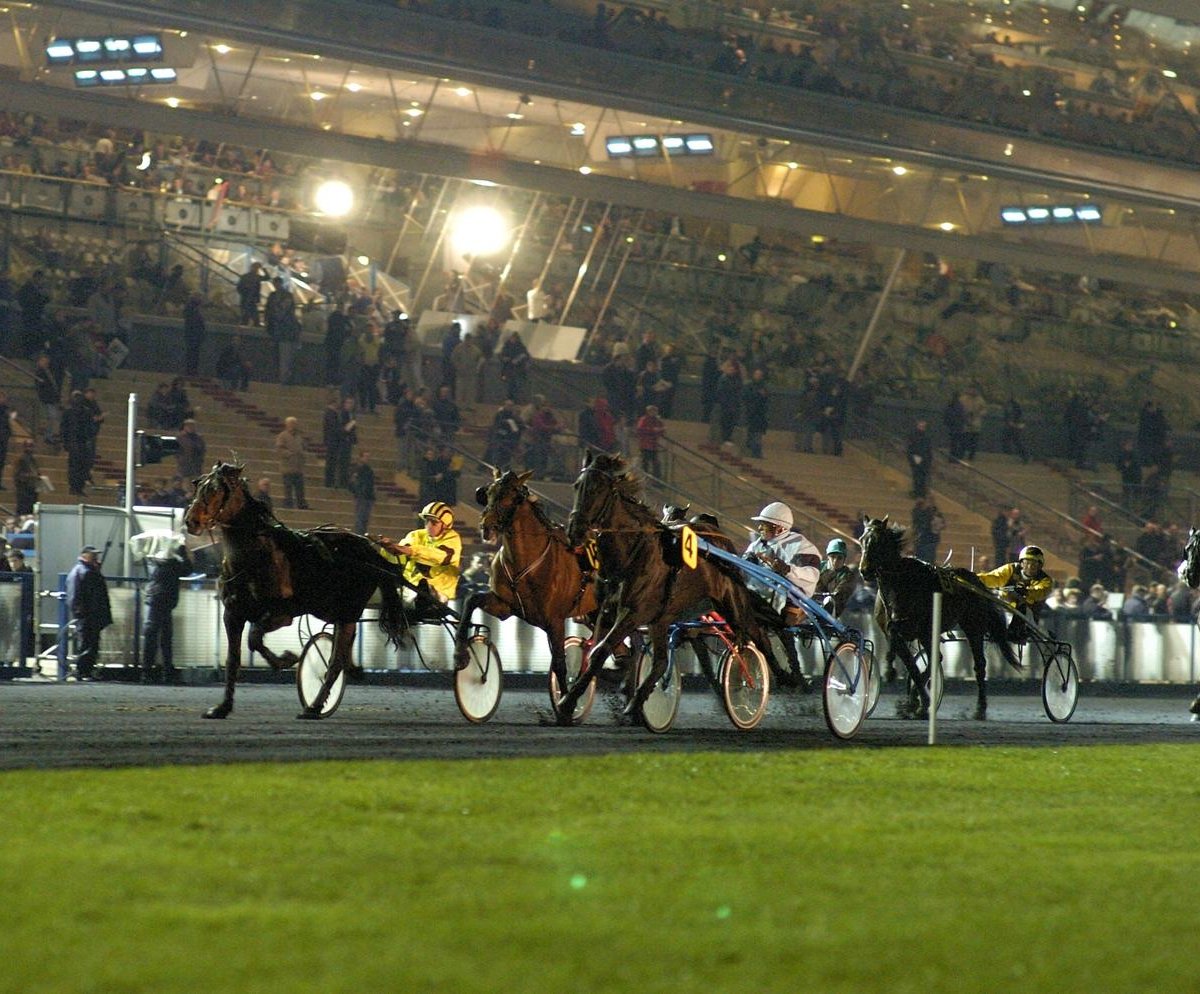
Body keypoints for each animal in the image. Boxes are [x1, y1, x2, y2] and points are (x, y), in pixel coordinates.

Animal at [183, 460, 412, 720]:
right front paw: (222, 707)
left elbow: (254, 638)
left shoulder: (281, 614)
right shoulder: (232, 614)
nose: (191, 521)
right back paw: (350, 673)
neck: (252, 559)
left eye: (215, 489)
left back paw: (314, 706)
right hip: (329, 609)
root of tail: (367, 548)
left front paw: (285, 659)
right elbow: (233, 659)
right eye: (198, 485)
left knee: (335, 662)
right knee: (342, 652)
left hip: (348, 610)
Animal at [451, 470, 597, 701]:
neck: (528, 560)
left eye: (513, 497)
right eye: (487, 493)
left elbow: (560, 663)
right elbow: (471, 600)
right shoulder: (505, 606)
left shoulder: (554, 621)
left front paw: (565, 701)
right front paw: (460, 654)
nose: (487, 526)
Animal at [561, 453, 768, 725]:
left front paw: (566, 703)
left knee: (753, 637)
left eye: (597, 489)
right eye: (577, 485)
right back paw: (636, 704)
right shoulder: (607, 611)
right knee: (660, 662)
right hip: (662, 620)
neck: (629, 554)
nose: (574, 531)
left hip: (732, 604)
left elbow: (600, 650)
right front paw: (573, 696)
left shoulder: (632, 613)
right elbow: (598, 650)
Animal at [859, 516, 1017, 720]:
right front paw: (909, 698)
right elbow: (911, 664)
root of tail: (977, 581)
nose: (864, 570)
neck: (900, 585)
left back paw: (980, 708)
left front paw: (917, 702)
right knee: (936, 659)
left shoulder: (918, 628)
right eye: (862, 539)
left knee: (979, 665)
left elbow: (917, 666)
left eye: (878, 541)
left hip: (972, 627)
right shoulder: (898, 632)